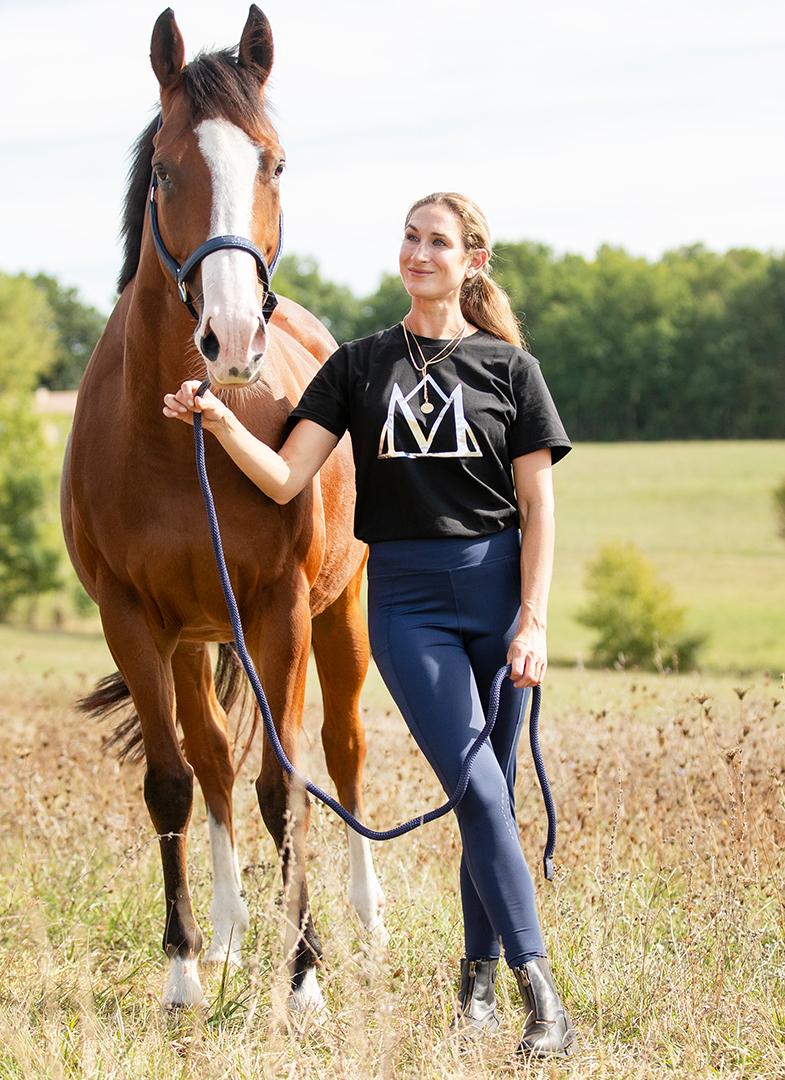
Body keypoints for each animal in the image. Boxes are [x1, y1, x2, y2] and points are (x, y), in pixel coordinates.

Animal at [60, 5, 385, 1012]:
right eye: (167, 170)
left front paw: (305, 978)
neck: (182, 443)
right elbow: (172, 782)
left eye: (274, 163)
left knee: (344, 750)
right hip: (195, 639)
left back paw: (365, 922)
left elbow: (288, 786)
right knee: (210, 763)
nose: (233, 337)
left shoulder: (281, 612)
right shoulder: (132, 619)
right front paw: (183, 971)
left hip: (340, 615)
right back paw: (235, 929)